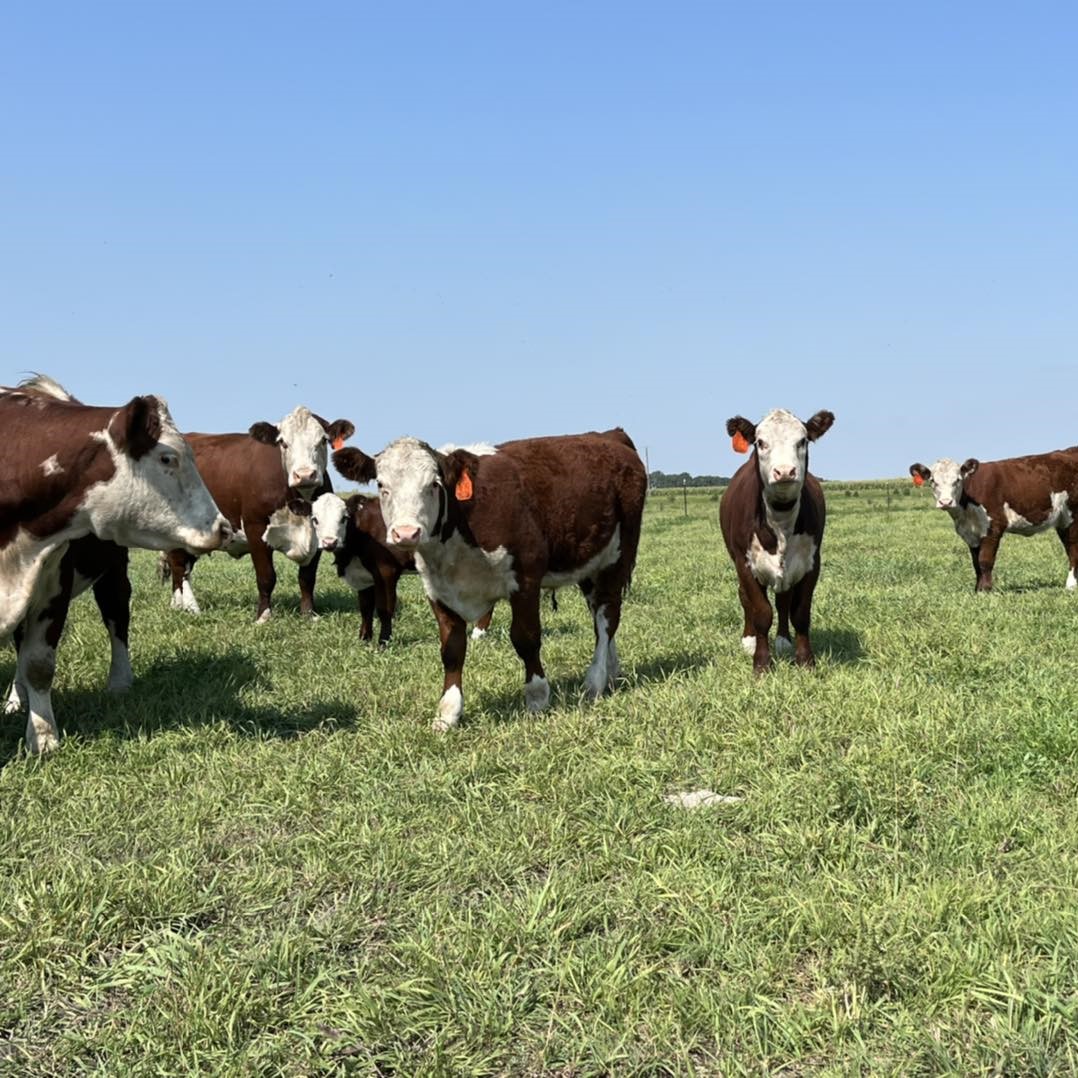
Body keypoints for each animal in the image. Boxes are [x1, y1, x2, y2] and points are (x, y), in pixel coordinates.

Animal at [1, 375, 229, 754]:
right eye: (168, 458)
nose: (222, 527)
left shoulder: (52, 587)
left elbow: (39, 664)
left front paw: (44, 736)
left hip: (114, 574)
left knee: (117, 619)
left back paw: (120, 681)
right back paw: (15, 699)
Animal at [161, 405, 353, 625]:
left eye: (322, 440)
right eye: (283, 442)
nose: (304, 475)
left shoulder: (318, 534)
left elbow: (307, 578)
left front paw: (309, 614)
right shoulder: (255, 528)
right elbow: (266, 576)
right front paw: (263, 616)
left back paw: (178, 606)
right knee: (179, 566)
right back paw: (190, 608)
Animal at [332, 424, 642, 728]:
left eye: (433, 484)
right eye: (382, 485)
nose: (406, 533)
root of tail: (610, 435)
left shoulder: (525, 579)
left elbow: (526, 639)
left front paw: (537, 698)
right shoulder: (437, 589)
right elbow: (452, 649)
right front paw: (448, 713)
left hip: (617, 557)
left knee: (607, 617)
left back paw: (595, 681)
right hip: (590, 563)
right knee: (598, 614)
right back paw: (612, 670)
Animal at [720, 405, 836, 672]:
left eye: (802, 441)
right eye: (760, 442)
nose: (784, 471)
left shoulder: (811, 563)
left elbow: (800, 613)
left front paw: (805, 661)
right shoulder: (745, 563)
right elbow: (761, 612)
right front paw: (761, 663)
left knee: (783, 600)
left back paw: (783, 640)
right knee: (745, 598)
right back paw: (749, 640)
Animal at [909, 450, 1078, 595]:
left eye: (957, 480)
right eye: (933, 481)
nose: (945, 502)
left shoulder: (993, 527)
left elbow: (985, 561)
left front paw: (986, 590)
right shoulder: (970, 534)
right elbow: (976, 563)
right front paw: (977, 590)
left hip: (1072, 517)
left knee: (1073, 549)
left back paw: (1070, 585)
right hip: (1062, 521)